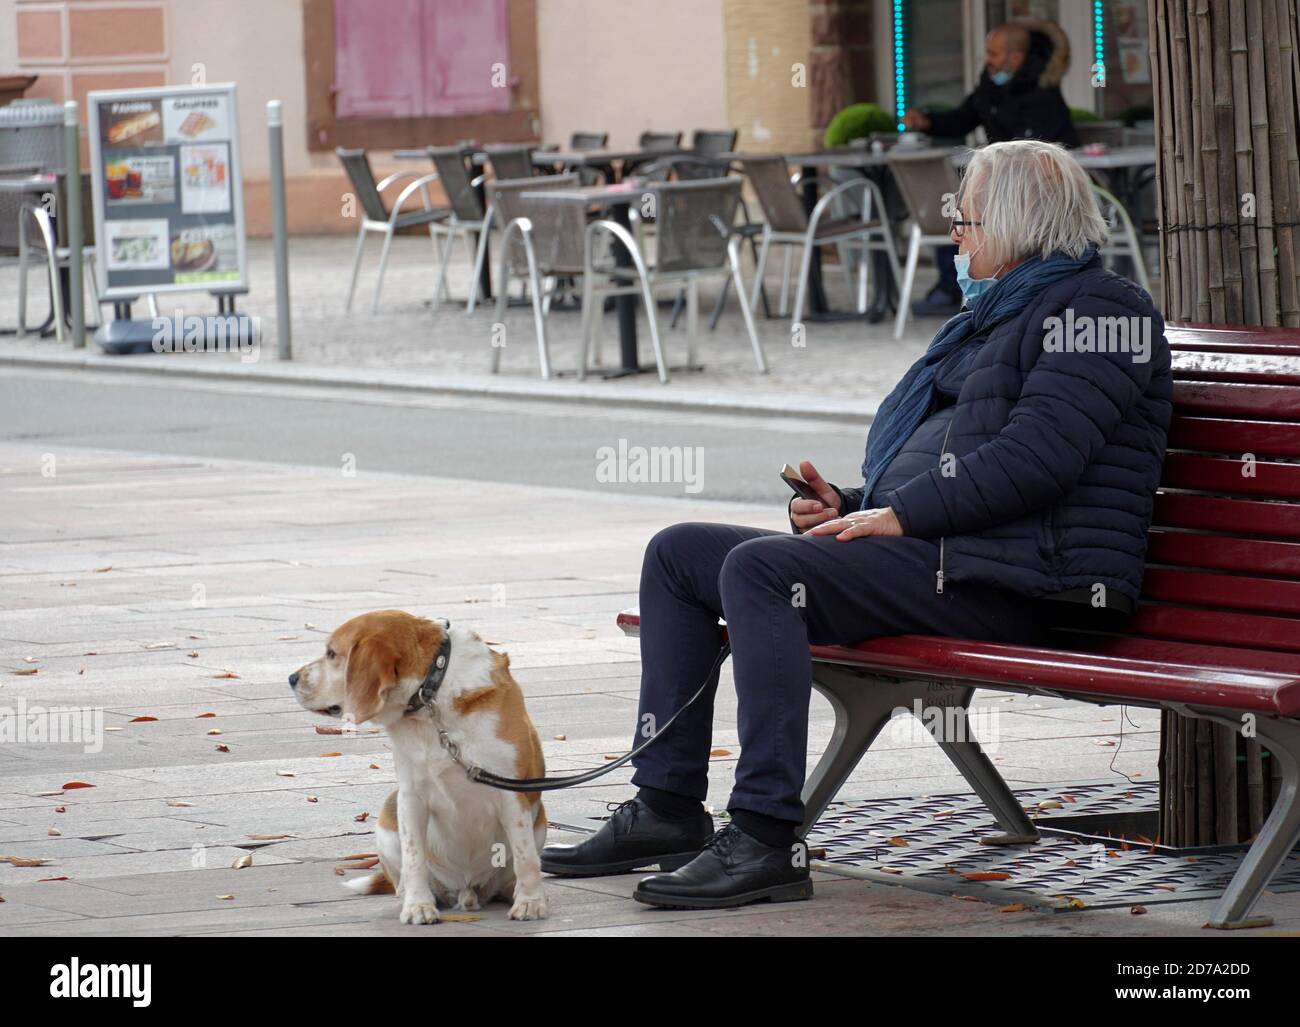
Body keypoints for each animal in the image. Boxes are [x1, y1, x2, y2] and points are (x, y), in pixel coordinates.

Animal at [289, 611, 548, 925]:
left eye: (331, 654)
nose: (291, 678)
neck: (430, 697)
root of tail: (468, 889)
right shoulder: (410, 797)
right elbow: (414, 858)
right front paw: (418, 906)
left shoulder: (510, 793)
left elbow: (525, 857)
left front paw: (530, 902)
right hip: (388, 816)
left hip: (538, 824)